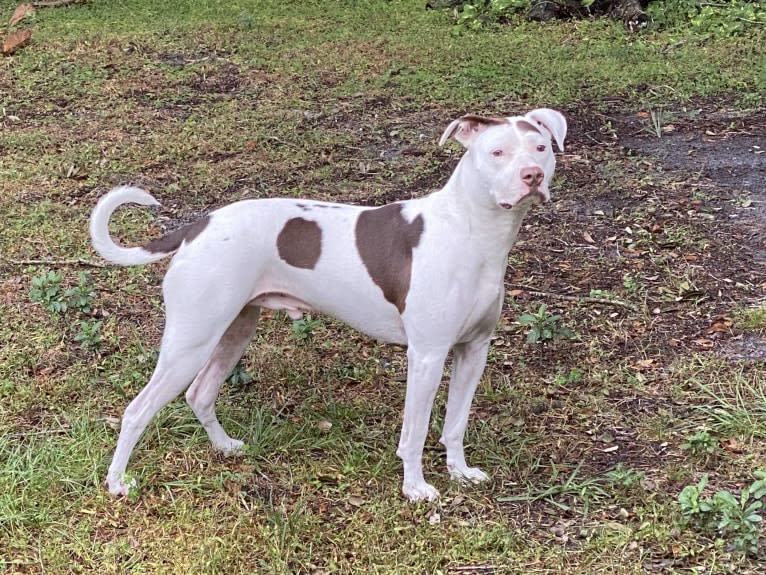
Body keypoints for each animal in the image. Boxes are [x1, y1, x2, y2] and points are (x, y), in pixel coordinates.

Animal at [93, 110, 568, 502]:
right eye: (496, 152)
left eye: (541, 149)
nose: (531, 177)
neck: (471, 230)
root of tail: (198, 226)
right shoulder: (428, 356)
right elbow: (414, 434)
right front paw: (415, 489)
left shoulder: (474, 351)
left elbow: (455, 423)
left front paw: (459, 473)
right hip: (190, 343)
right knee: (136, 412)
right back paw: (117, 483)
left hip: (234, 331)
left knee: (200, 393)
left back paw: (224, 446)